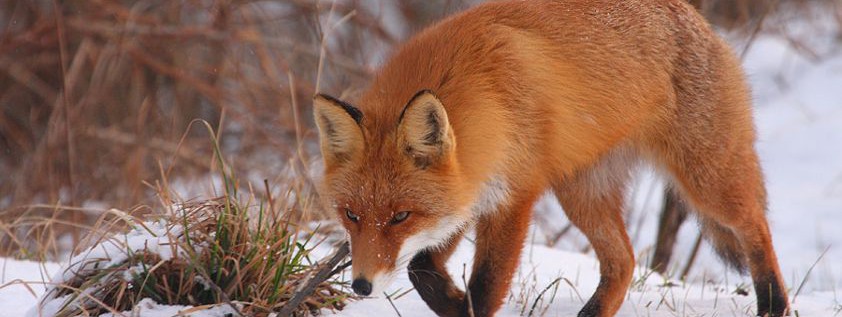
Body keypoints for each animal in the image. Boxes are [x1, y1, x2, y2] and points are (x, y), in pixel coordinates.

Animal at [314, 0, 788, 316]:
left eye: (400, 217)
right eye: (351, 215)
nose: (361, 286)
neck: (486, 98)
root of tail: (695, 16)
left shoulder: (512, 197)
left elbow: (485, 286)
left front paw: (466, 304)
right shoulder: (465, 191)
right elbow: (421, 267)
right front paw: (451, 300)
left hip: (709, 180)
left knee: (756, 227)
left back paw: (773, 303)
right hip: (582, 195)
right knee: (624, 262)